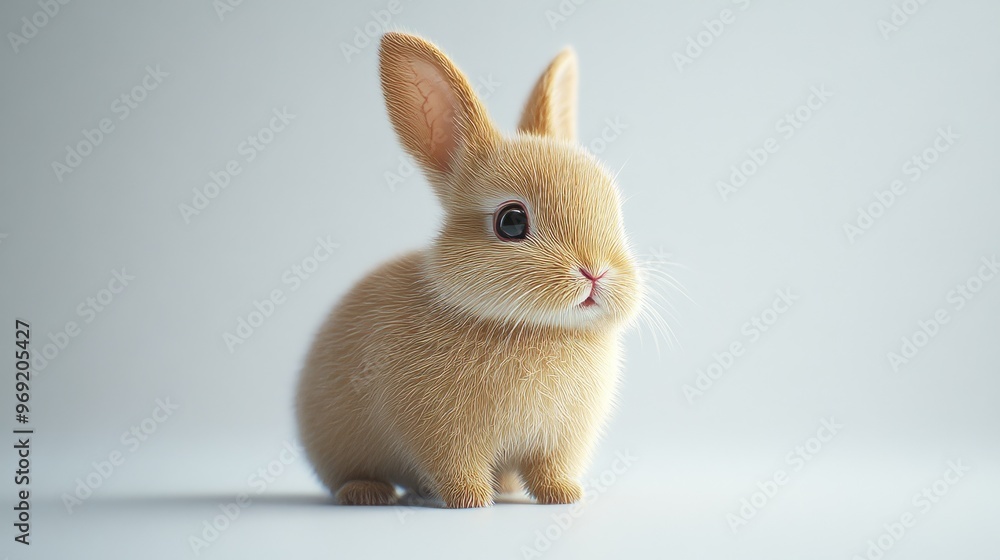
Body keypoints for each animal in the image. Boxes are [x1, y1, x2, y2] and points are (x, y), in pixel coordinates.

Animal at [296, 32, 641, 508]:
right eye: (511, 222)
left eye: (614, 210)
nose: (596, 273)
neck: (538, 328)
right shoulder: (443, 434)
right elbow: (455, 467)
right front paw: (471, 500)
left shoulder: (558, 442)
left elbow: (549, 470)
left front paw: (564, 495)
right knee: (347, 476)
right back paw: (368, 492)